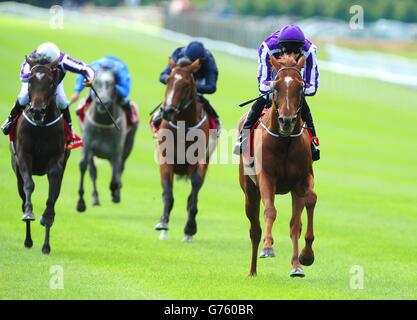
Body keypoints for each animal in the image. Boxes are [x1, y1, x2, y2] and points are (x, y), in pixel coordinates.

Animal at [10, 56, 70, 254]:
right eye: (30, 81)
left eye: (51, 82)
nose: (37, 111)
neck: (41, 127)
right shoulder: (23, 156)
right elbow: (29, 185)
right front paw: (29, 212)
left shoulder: (56, 161)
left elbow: (51, 198)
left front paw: (47, 218)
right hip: (17, 174)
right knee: (22, 195)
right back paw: (28, 240)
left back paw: (46, 245)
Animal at [75, 67, 137, 211]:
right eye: (96, 82)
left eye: (112, 83)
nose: (102, 102)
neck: (103, 124)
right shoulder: (88, 146)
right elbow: (85, 167)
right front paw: (81, 202)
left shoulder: (116, 151)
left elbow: (115, 176)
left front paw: (116, 193)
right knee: (94, 171)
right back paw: (95, 198)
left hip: (128, 145)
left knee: (120, 168)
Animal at [154, 58, 216, 242]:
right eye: (168, 80)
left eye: (186, 85)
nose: (167, 110)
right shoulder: (166, 160)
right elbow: (168, 194)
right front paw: (163, 224)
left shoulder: (199, 161)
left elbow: (194, 191)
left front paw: (190, 228)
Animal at [239, 53, 316, 276]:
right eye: (276, 86)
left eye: (300, 86)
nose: (287, 121)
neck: (285, 140)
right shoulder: (266, 177)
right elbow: (270, 211)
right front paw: (268, 247)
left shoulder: (302, 180)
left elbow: (306, 207)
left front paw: (305, 258)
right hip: (249, 190)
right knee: (254, 229)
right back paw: (252, 271)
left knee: (295, 224)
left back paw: (296, 265)